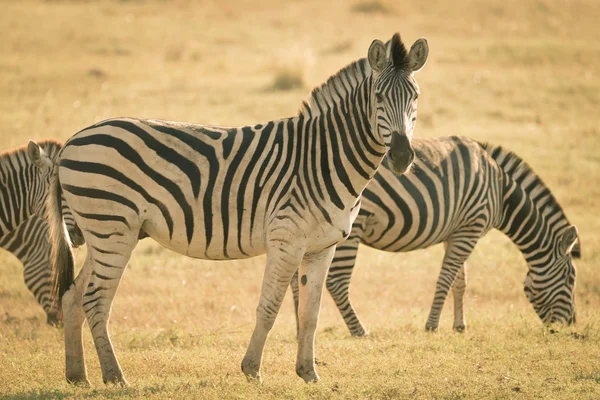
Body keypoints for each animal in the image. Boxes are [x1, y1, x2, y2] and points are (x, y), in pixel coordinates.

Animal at [29, 34, 432, 384]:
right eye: (378, 96)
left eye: (415, 96)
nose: (401, 157)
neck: (324, 157)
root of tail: (72, 141)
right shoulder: (286, 241)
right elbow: (269, 307)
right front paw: (252, 370)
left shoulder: (322, 247)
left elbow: (310, 314)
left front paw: (308, 374)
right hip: (113, 229)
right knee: (96, 300)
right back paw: (115, 377)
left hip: (103, 232)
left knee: (73, 296)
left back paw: (77, 375)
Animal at [292, 136, 580, 336]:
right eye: (570, 278)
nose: (571, 325)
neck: (500, 191)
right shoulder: (471, 228)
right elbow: (446, 277)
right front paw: (432, 325)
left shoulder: (456, 232)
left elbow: (460, 281)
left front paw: (460, 325)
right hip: (351, 227)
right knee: (337, 281)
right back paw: (359, 330)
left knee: (297, 280)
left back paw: (299, 328)